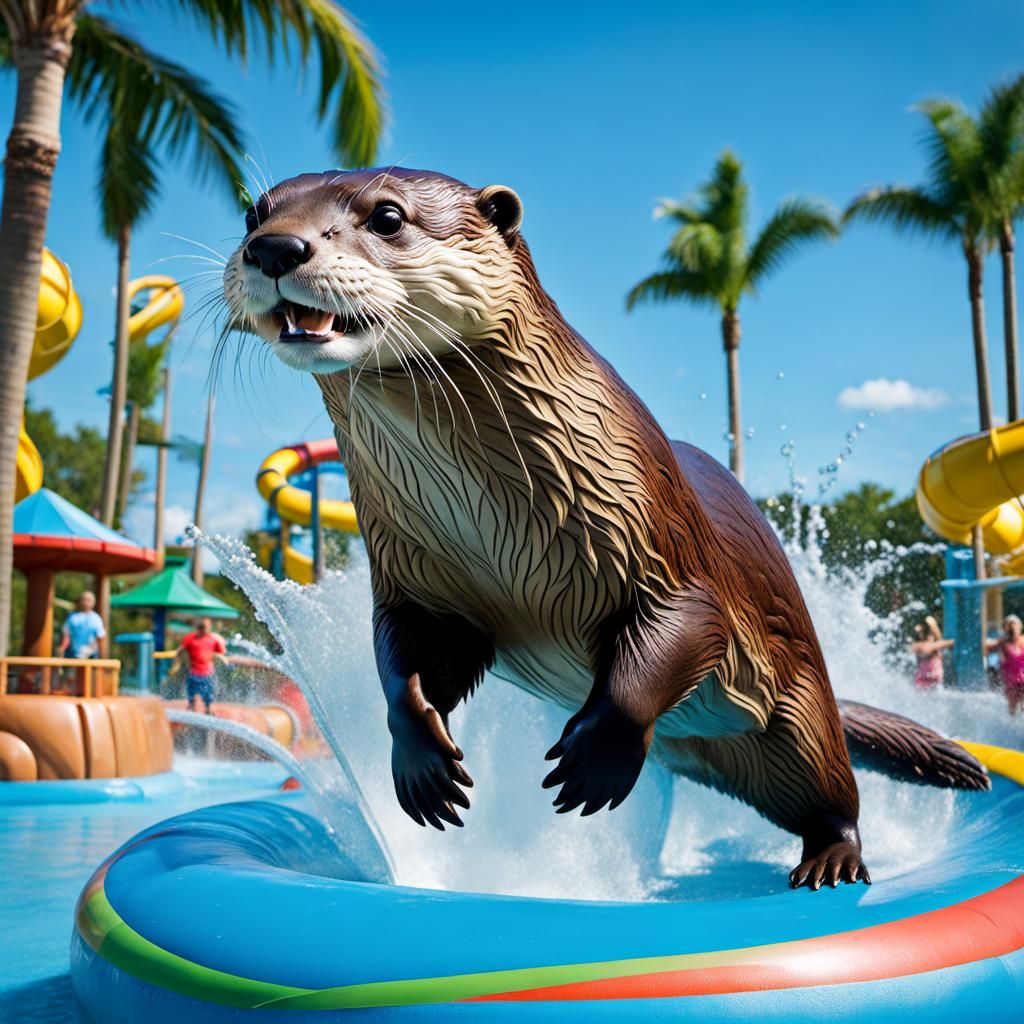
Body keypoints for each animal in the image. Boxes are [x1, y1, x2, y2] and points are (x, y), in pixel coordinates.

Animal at [224, 167, 987, 890]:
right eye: (255, 211)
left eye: (386, 216)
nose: (274, 248)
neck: (490, 530)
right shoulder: (418, 579)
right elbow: (404, 657)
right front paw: (420, 761)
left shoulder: (662, 548)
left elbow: (678, 634)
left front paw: (595, 759)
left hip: (799, 714)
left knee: (835, 791)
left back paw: (832, 857)